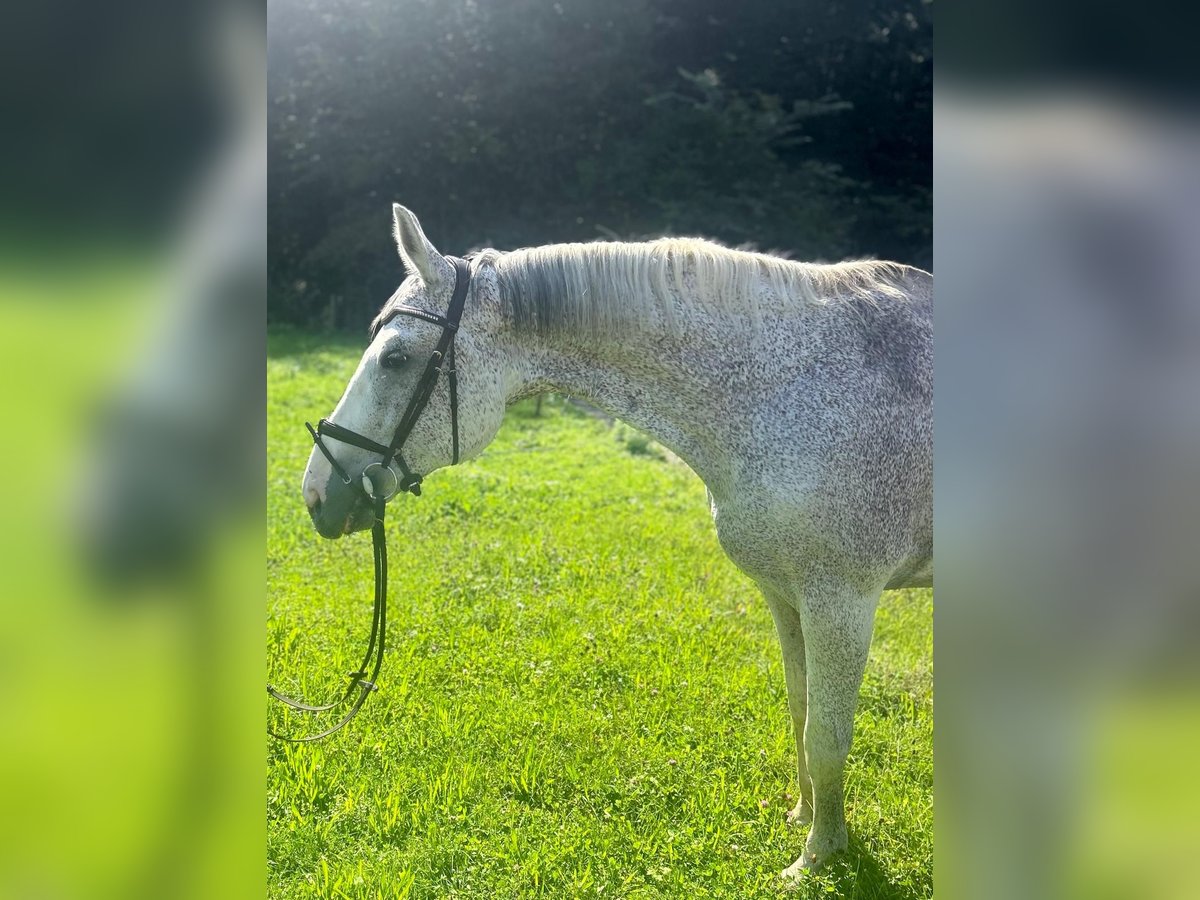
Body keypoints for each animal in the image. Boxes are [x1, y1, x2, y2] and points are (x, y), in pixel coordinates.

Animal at [302, 202, 936, 883]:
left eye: (394, 359)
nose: (316, 495)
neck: (782, 392)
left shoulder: (840, 600)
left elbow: (827, 735)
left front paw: (819, 854)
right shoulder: (785, 594)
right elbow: (800, 709)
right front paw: (804, 817)